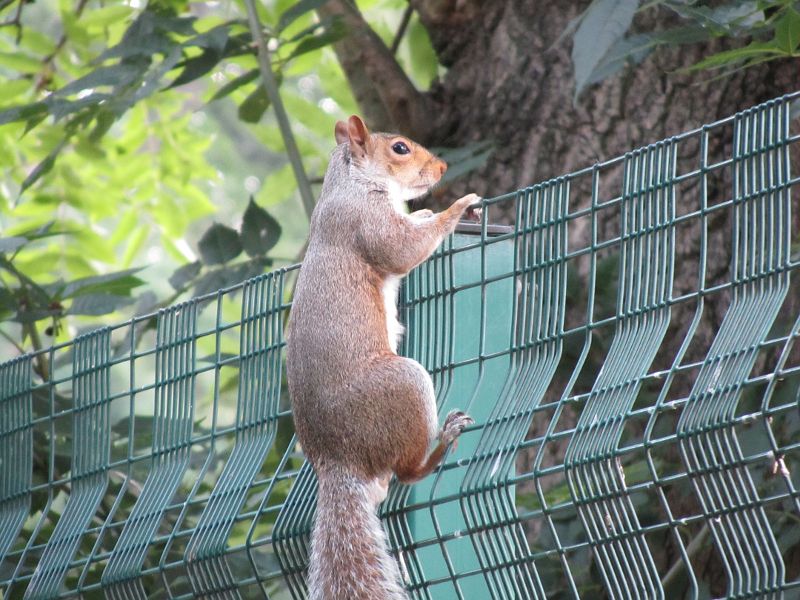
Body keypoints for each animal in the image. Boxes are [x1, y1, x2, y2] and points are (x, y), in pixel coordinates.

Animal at [286, 115, 478, 596]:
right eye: (400, 148)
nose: (443, 167)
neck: (350, 182)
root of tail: (339, 462)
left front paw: (426, 212)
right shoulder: (366, 221)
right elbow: (401, 249)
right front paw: (454, 209)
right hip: (403, 384)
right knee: (408, 472)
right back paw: (442, 442)